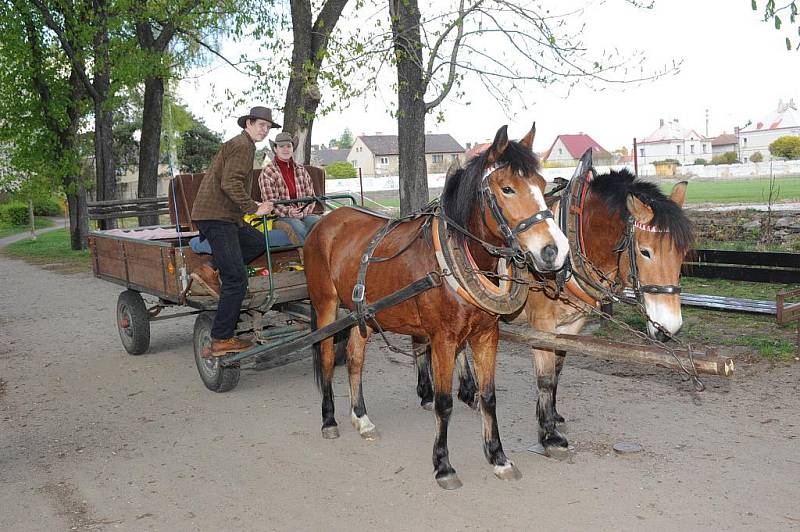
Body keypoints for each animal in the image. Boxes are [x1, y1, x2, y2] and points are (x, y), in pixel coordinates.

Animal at [302, 124, 568, 490]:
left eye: (542, 185)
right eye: (507, 188)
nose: (555, 250)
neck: (457, 259)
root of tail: (328, 220)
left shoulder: (486, 336)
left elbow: (488, 396)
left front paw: (498, 457)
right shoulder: (443, 340)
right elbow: (443, 402)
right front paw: (443, 465)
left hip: (361, 315)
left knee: (355, 361)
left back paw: (361, 418)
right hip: (326, 306)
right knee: (329, 359)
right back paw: (329, 419)